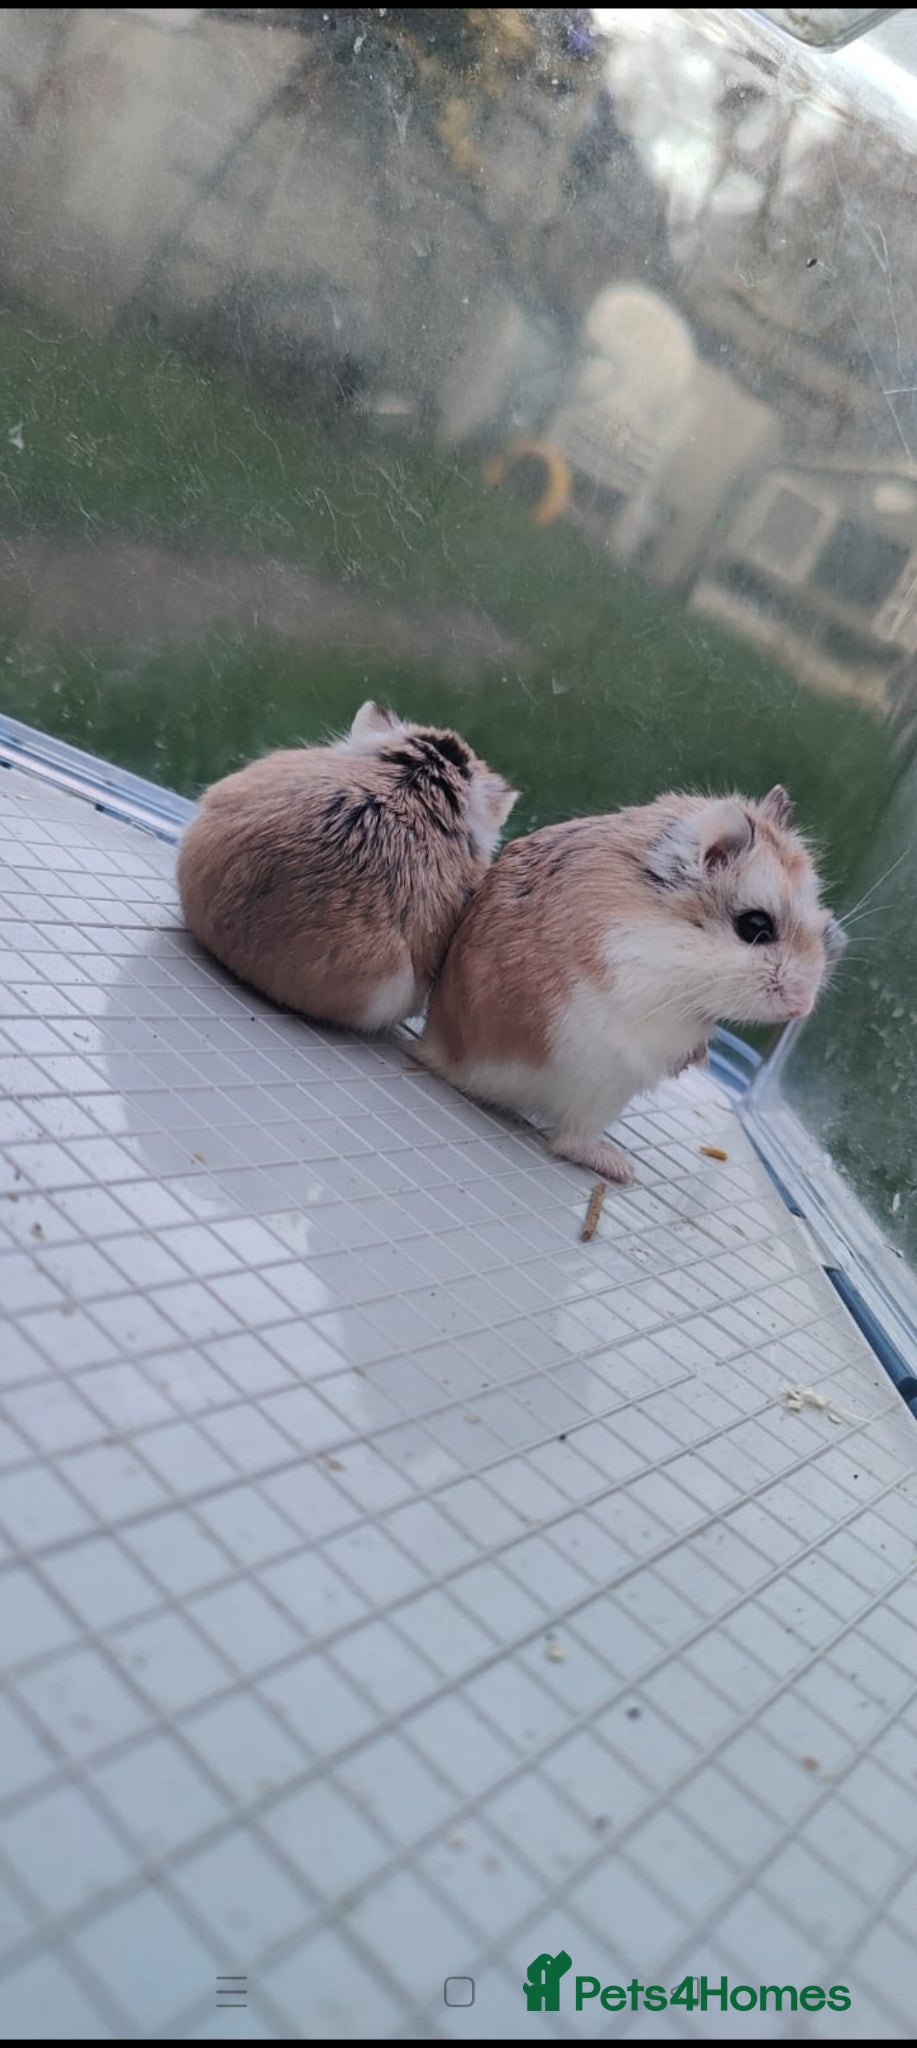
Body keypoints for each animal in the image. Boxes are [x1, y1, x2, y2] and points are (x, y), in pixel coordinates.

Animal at [420, 786, 845, 1185]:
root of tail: (438, 1049)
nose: (802, 1008)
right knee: (568, 1141)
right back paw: (621, 1167)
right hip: (602, 1085)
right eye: (755, 926)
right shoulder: (643, 981)